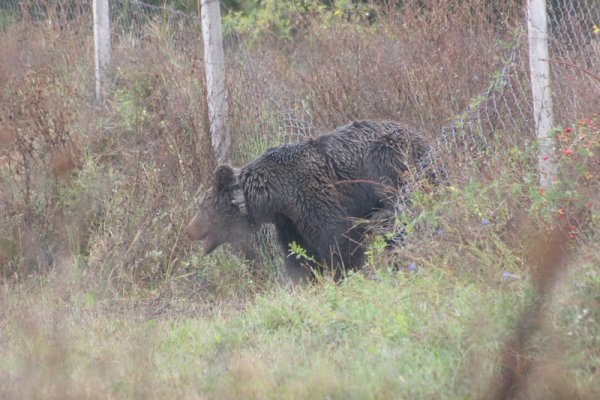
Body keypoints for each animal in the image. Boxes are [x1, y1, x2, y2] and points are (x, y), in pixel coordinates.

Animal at [185, 119, 434, 282]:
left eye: (201, 208)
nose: (189, 229)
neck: (273, 196)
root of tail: (423, 136)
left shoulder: (311, 193)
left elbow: (337, 238)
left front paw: (344, 273)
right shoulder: (288, 220)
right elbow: (299, 254)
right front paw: (304, 280)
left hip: (388, 157)